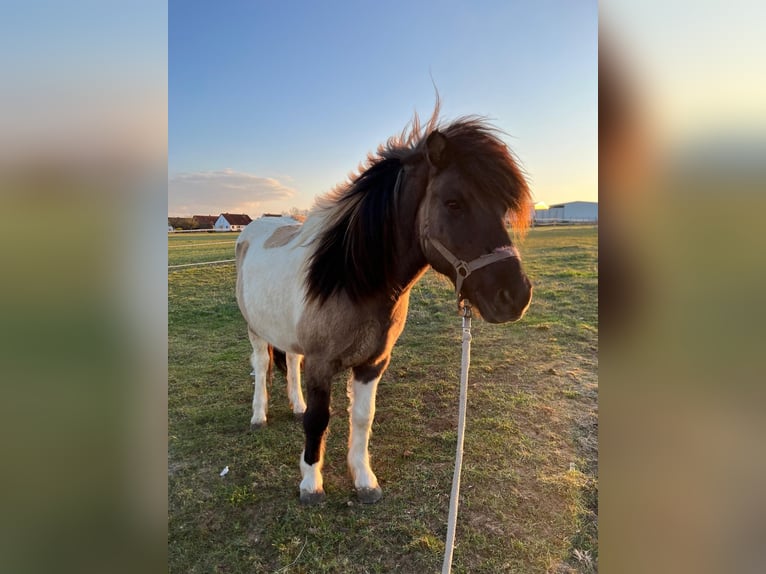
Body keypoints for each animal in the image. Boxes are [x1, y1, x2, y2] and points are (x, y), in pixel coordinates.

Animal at [235, 108, 533, 504]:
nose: (515, 295)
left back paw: (295, 406)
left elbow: (363, 417)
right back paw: (259, 416)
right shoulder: (321, 364)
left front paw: (364, 480)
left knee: (291, 364)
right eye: (454, 203)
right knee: (262, 365)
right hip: (256, 331)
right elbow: (319, 419)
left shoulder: (373, 363)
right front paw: (311, 484)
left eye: (502, 207)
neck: (350, 281)